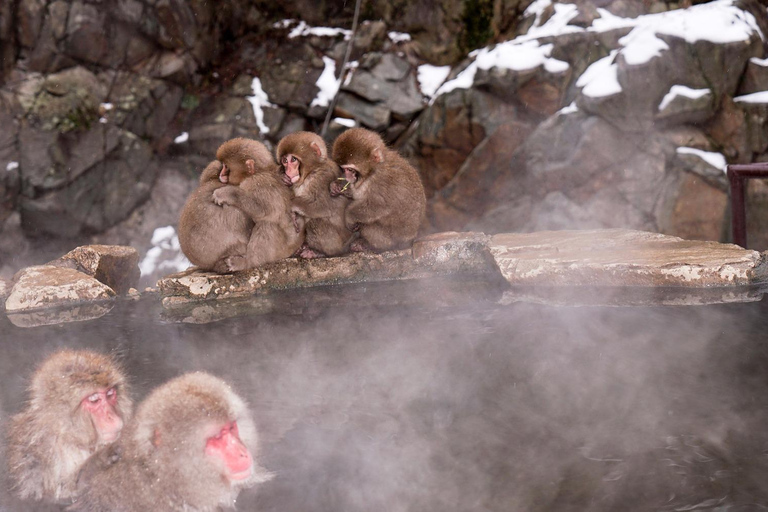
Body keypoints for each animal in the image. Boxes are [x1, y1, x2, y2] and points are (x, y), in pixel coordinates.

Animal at [6, 350, 132, 504]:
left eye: (110, 394)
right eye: (94, 399)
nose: (112, 417)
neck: (70, 437)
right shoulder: (35, 454)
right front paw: (99, 461)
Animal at [212, 137, 305, 269]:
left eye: (226, 167)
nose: (221, 174)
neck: (258, 172)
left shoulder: (256, 182)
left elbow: (264, 209)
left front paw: (225, 193)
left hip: (283, 249)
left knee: (266, 225)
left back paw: (246, 263)